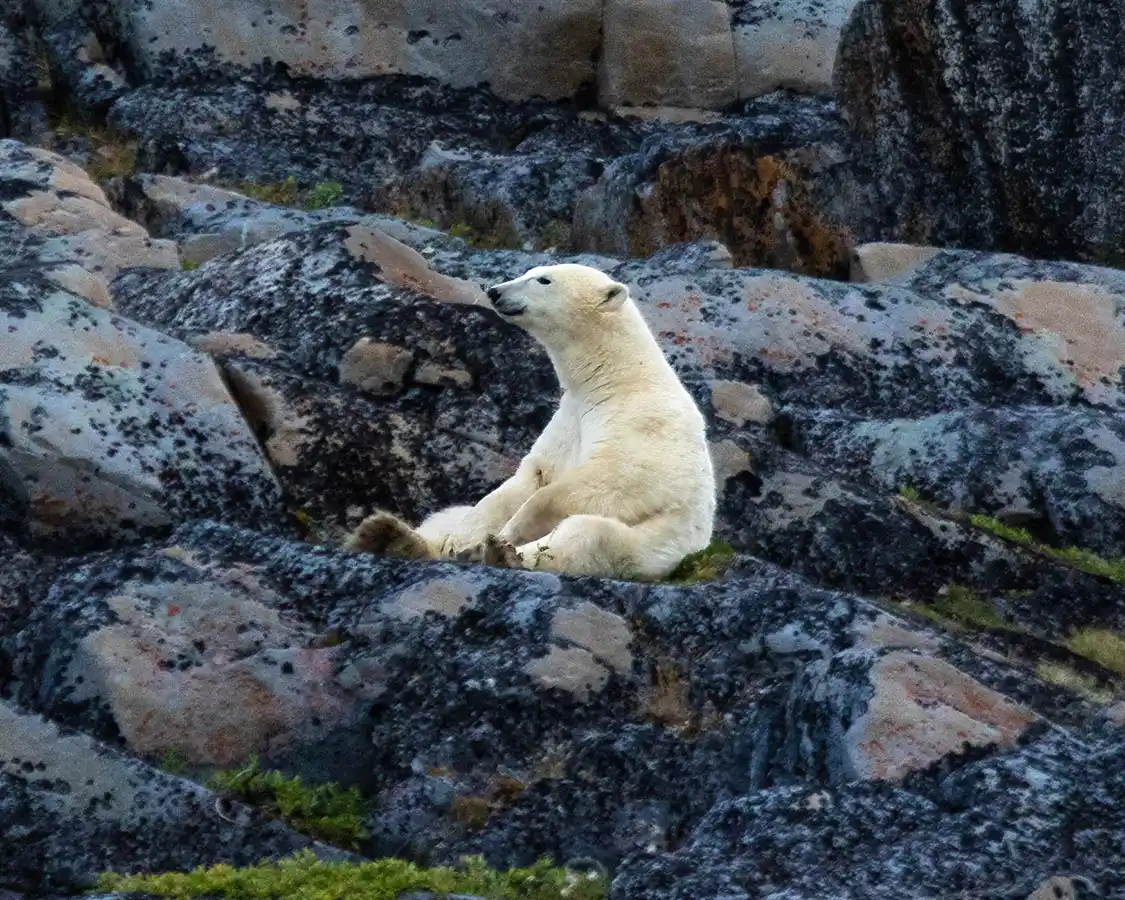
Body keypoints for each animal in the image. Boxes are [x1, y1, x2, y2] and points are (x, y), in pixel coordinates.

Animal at [342, 263, 715, 580]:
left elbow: (614, 479)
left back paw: (501, 554)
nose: (494, 291)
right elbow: (528, 477)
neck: (615, 379)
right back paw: (389, 534)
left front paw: (507, 534)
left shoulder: (643, 422)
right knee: (443, 516)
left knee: (586, 539)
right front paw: (463, 540)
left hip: (653, 547)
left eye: (543, 280)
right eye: (529, 271)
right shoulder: (567, 422)